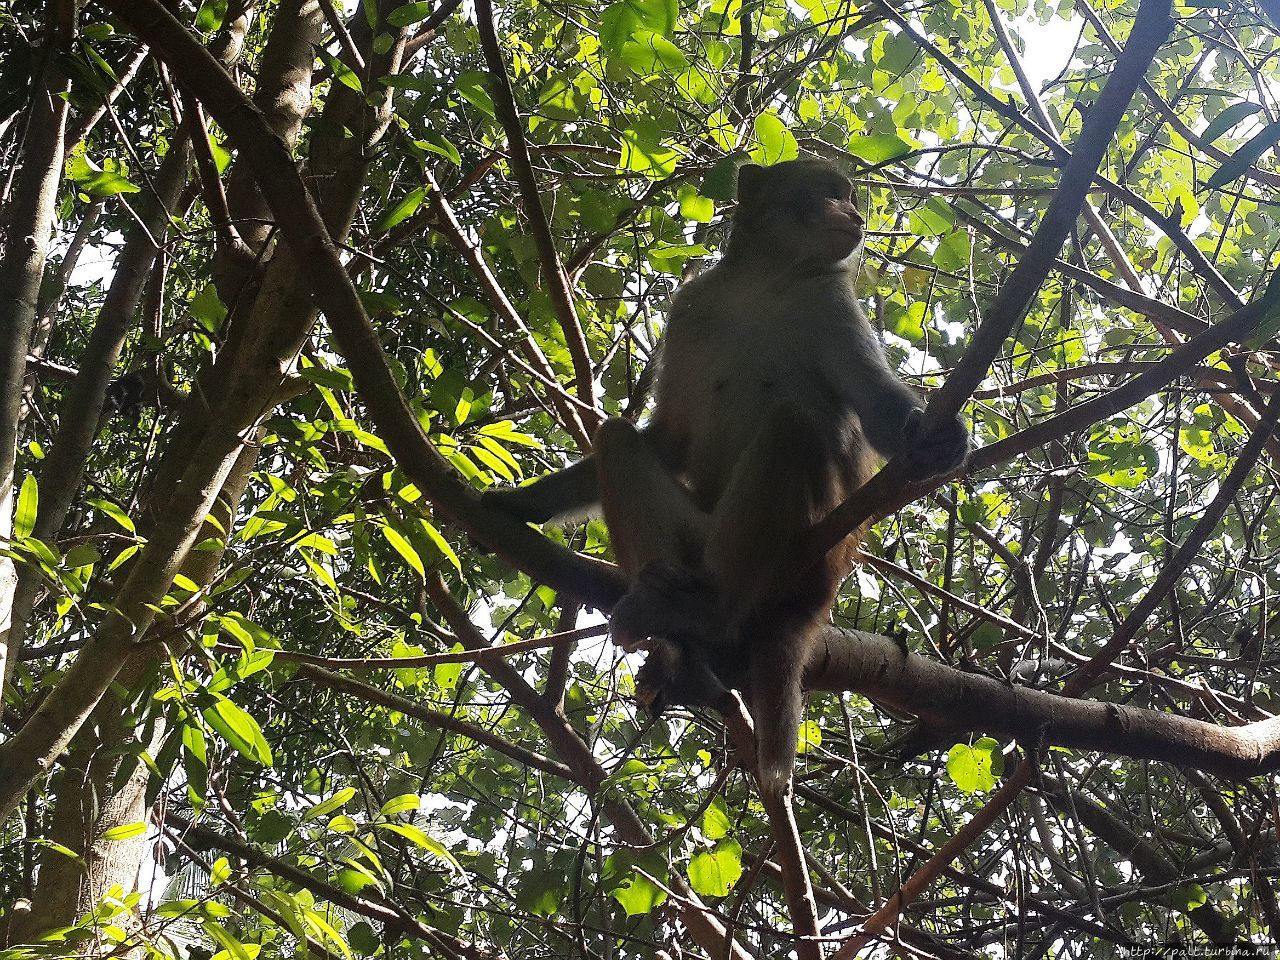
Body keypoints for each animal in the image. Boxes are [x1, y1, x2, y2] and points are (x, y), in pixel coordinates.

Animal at [486, 160, 967, 798]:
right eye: (829, 193)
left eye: (847, 195)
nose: (855, 214)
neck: (763, 284)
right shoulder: (692, 308)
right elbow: (665, 439)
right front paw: (522, 504)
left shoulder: (830, 302)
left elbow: (877, 411)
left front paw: (935, 441)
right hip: (702, 537)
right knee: (620, 442)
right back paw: (674, 626)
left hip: (813, 552)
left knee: (792, 423)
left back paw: (711, 612)